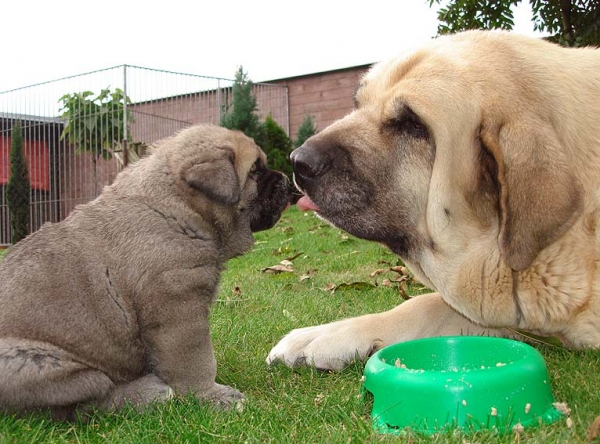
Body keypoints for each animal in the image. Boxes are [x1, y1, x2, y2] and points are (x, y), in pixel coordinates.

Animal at [0, 124, 290, 420]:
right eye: (255, 171)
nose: (286, 180)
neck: (180, 208)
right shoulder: (179, 307)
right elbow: (197, 359)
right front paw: (212, 396)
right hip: (41, 364)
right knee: (84, 403)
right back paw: (149, 392)